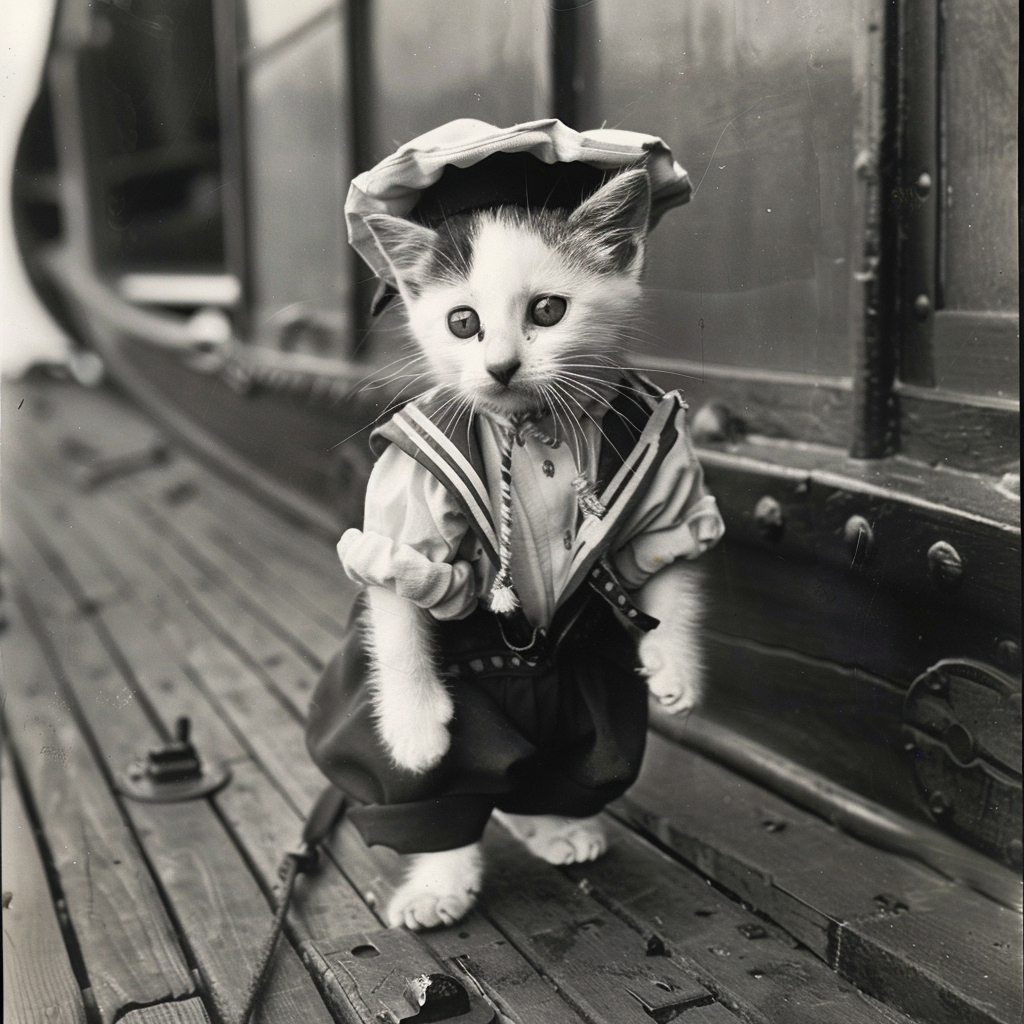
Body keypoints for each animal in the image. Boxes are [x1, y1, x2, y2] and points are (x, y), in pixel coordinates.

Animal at [360, 172, 704, 933]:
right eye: (462, 322)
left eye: (548, 310)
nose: (501, 366)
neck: (533, 425)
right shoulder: (408, 506)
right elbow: (399, 592)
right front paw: (414, 727)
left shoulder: (664, 469)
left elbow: (668, 556)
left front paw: (675, 665)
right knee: (459, 791)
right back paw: (440, 883)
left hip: (586, 711)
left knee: (560, 771)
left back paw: (553, 826)